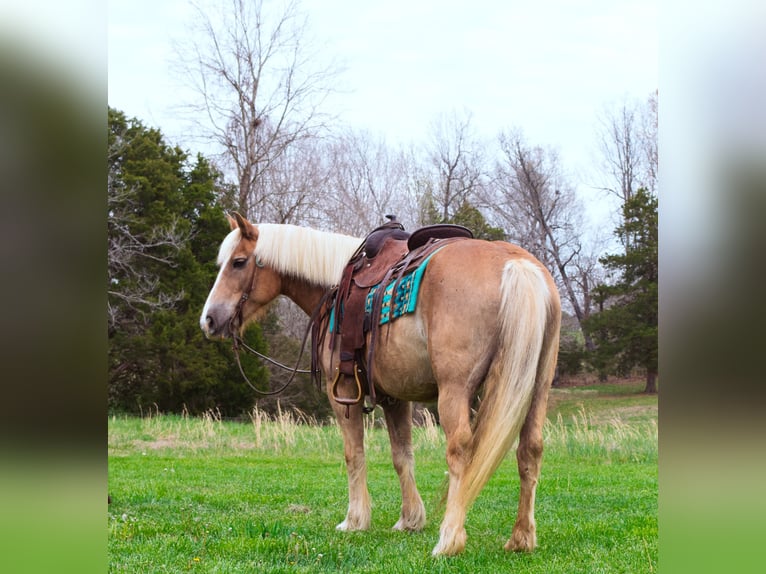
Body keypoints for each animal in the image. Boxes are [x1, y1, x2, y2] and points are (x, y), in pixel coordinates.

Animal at [201, 213, 564, 560]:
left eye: (239, 262)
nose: (209, 320)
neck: (335, 288)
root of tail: (516, 264)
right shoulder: (395, 398)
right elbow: (402, 455)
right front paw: (410, 519)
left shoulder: (344, 391)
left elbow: (354, 454)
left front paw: (355, 519)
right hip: (537, 388)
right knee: (530, 449)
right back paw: (521, 539)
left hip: (455, 391)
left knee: (460, 450)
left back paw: (449, 540)